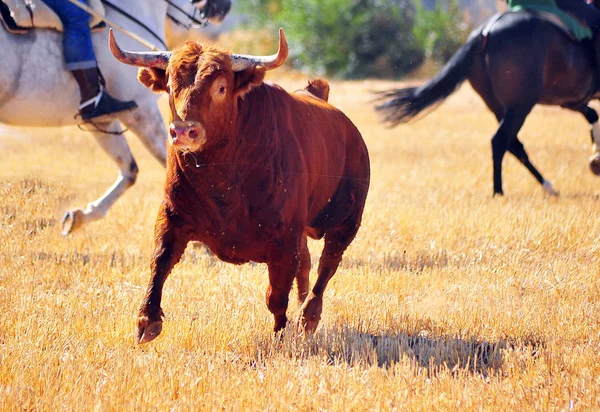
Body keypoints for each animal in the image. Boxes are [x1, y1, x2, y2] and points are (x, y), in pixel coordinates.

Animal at [108, 29, 370, 344]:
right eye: (170, 86)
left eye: (221, 88)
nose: (183, 131)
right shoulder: (172, 217)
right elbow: (160, 260)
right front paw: (147, 320)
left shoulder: (284, 242)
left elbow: (276, 295)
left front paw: (280, 335)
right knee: (308, 264)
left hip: (347, 220)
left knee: (328, 262)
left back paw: (309, 315)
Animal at [378, 9, 600, 196]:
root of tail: (486, 31)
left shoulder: (572, 101)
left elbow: (592, 115)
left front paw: (596, 159)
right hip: (520, 105)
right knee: (501, 140)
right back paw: (499, 192)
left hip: (499, 106)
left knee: (513, 144)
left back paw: (545, 186)